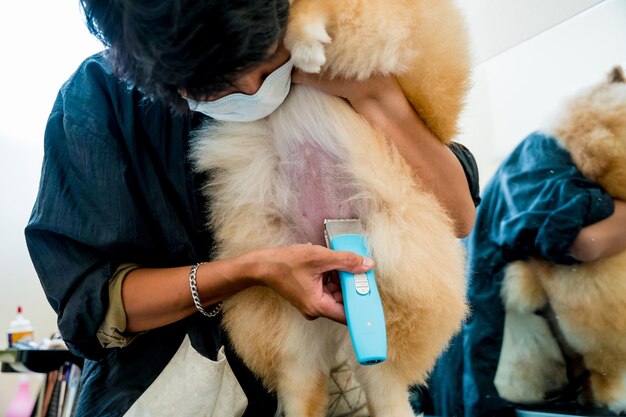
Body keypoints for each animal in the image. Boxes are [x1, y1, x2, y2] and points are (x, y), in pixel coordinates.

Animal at [189, 1, 468, 414]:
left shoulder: (388, 22)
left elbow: (321, 14)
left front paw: (304, 43)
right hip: (289, 325)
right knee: (302, 387)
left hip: (390, 282)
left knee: (385, 386)